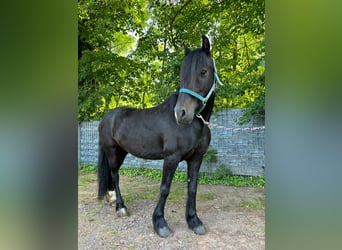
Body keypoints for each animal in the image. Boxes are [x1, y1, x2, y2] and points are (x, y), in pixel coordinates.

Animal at [97, 34, 220, 237]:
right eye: (182, 74)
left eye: (203, 71)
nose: (181, 113)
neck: (195, 125)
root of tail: (107, 117)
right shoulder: (171, 158)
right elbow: (164, 188)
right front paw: (160, 223)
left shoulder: (196, 159)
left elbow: (192, 188)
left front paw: (194, 221)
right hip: (112, 152)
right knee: (115, 175)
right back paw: (121, 207)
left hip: (122, 152)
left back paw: (111, 198)